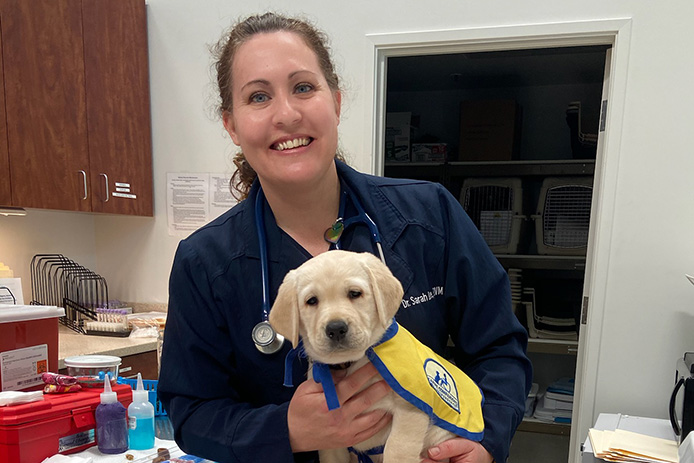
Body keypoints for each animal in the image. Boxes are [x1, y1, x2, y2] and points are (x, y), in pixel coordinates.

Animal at [270, 250, 486, 463]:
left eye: (355, 293)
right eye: (311, 301)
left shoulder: (411, 408)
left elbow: (397, 449)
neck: (351, 363)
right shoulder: (330, 439)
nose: (336, 328)